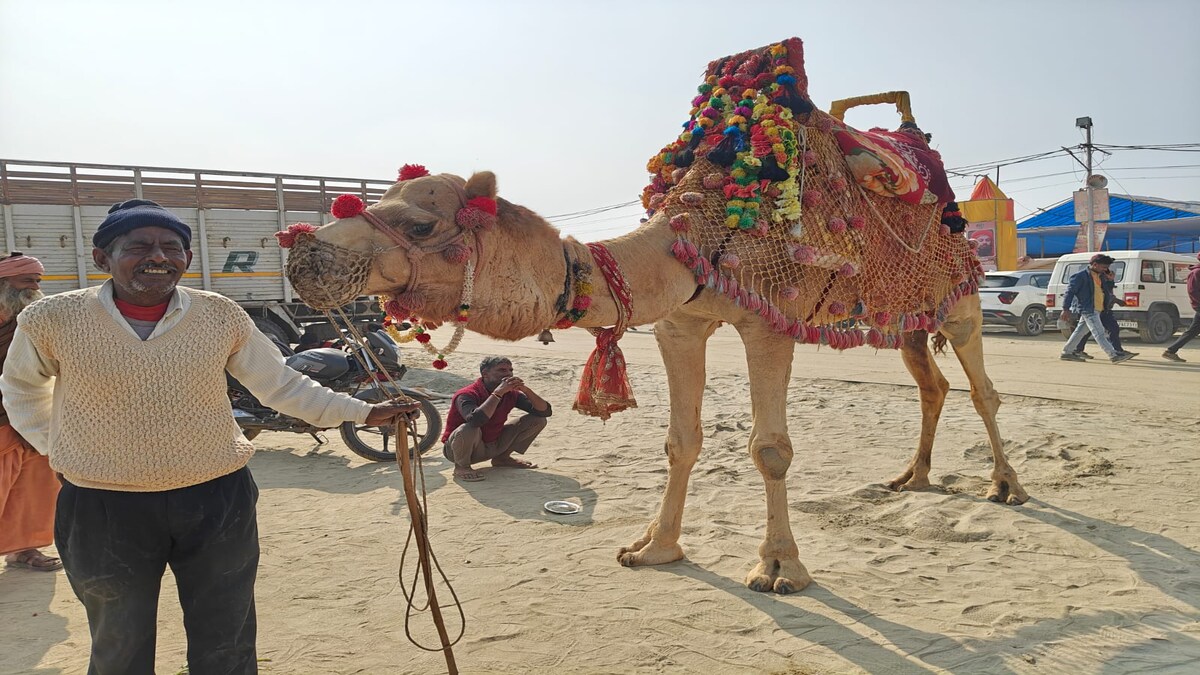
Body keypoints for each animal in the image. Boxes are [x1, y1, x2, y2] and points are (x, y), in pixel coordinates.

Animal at [281, 38, 1027, 595]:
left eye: (420, 222)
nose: (305, 250)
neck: (701, 228)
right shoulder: (680, 323)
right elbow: (680, 440)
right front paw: (654, 547)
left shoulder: (769, 321)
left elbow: (770, 448)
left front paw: (779, 567)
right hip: (907, 315)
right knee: (931, 383)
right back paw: (914, 477)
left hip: (960, 296)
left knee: (982, 388)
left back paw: (1006, 485)